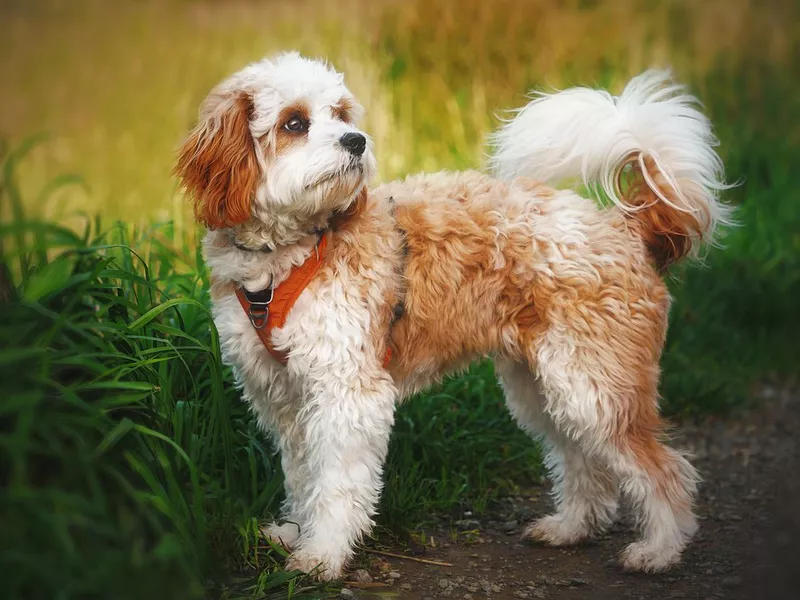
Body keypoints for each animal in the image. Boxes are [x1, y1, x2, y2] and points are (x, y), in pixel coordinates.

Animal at [175, 52, 732, 580]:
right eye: (294, 123)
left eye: (341, 114)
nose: (356, 140)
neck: (294, 252)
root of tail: (623, 227)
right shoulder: (281, 395)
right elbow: (300, 474)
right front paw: (294, 530)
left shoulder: (346, 391)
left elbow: (334, 484)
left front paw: (322, 556)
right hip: (545, 387)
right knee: (583, 461)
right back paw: (572, 528)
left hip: (595, 386)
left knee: (666, 471)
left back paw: (659, 551)